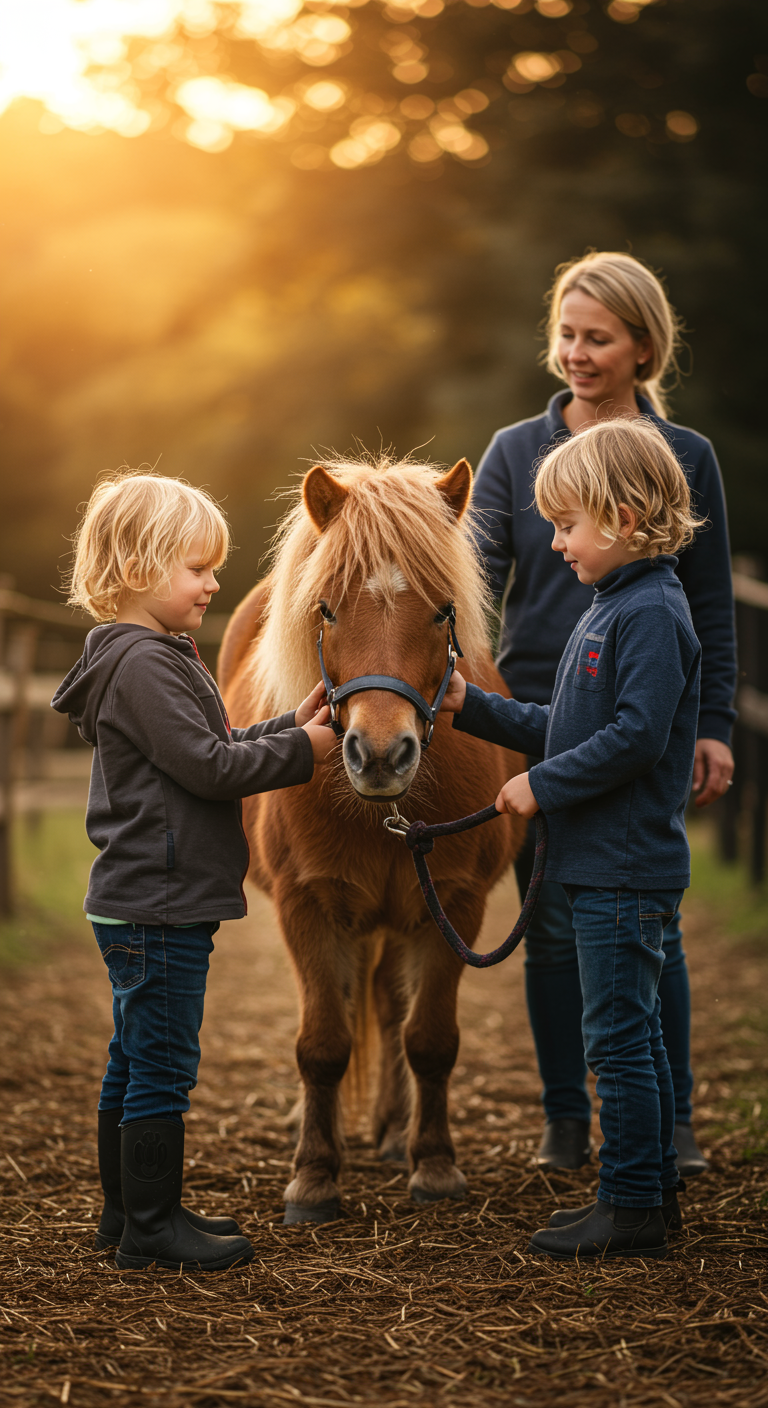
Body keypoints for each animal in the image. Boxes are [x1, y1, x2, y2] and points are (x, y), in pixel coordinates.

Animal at [218, 454, 526, 1223]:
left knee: (388, 1008)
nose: (381, 754)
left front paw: (434, 1163)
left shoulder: (455, 905)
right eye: (326, 609)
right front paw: (313, 1175)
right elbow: (323, 1042)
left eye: (443, 610)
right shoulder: (307, 906)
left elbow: (430, 1039)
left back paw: (391, 1128)